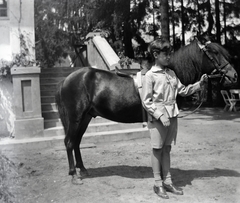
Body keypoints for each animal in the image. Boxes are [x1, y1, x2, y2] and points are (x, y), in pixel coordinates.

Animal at [55, 38, 237, 185]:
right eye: (214, 53)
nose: (233, 75)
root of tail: (67, 80)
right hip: (76, 117)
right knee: (69, 142)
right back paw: (74, 175)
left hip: (85, 117)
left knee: (76, 142)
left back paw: (83, 169)